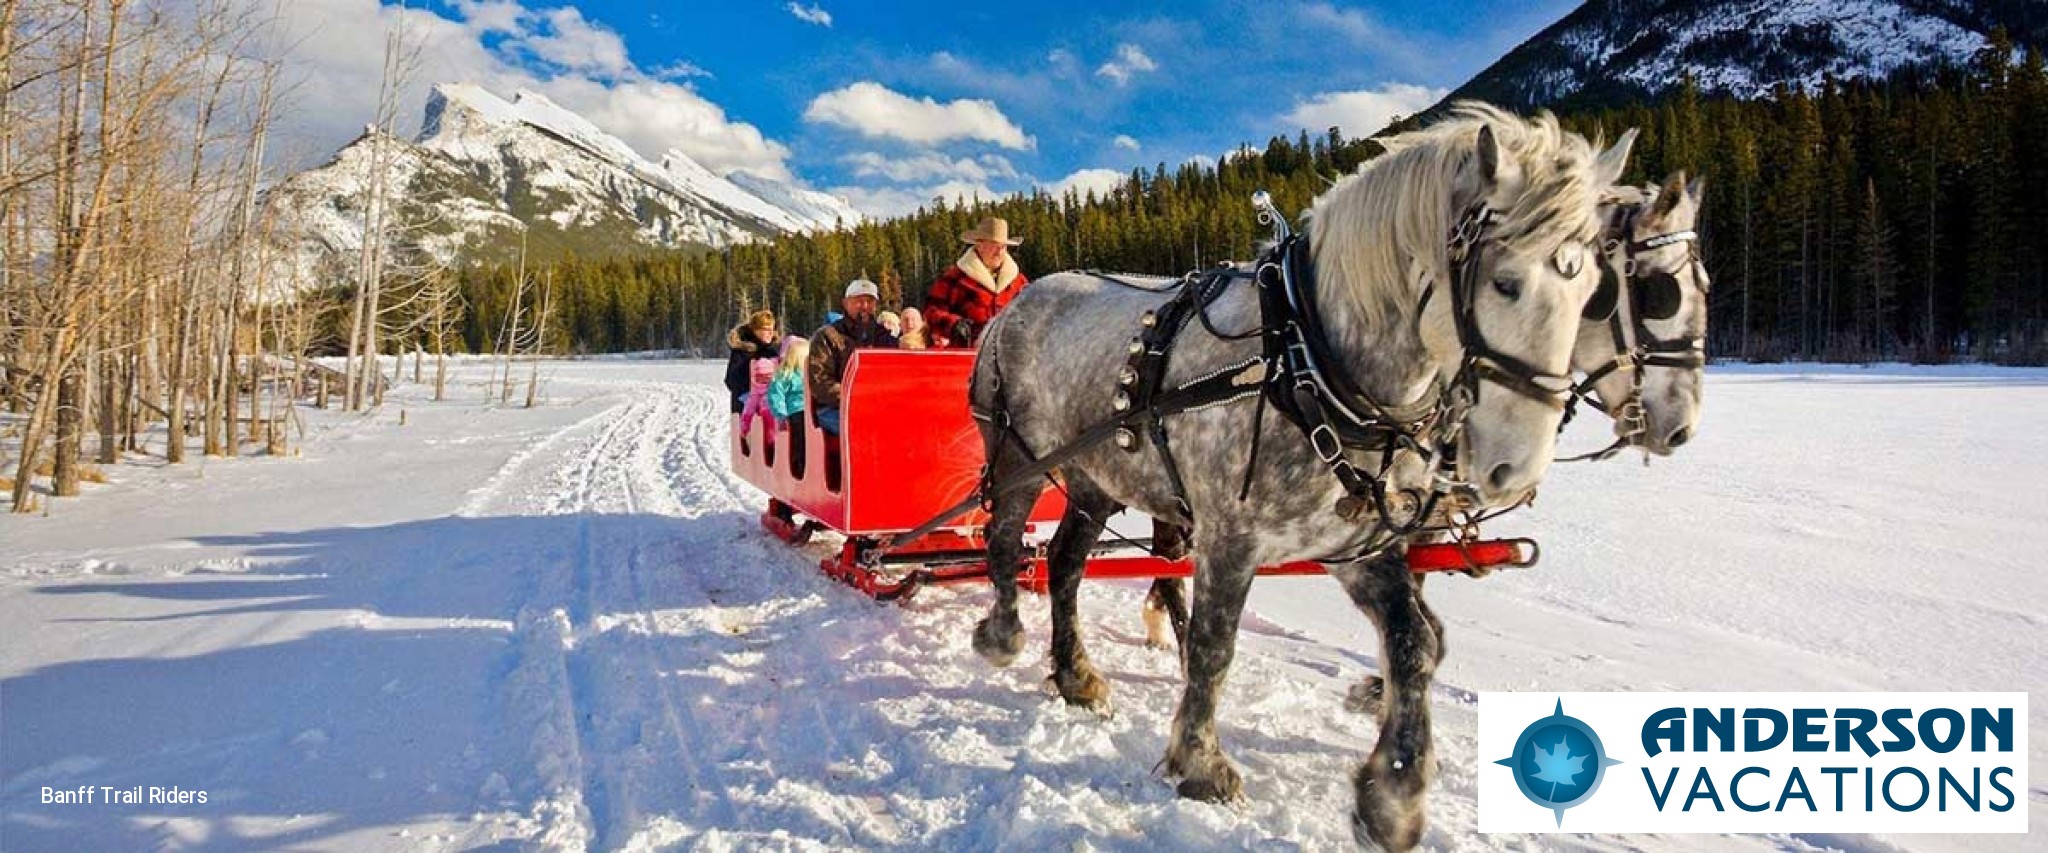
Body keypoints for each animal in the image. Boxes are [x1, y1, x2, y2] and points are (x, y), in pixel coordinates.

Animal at [966, 104, 1622, 842]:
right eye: (1505, 281)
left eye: (1594, 293)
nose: (1515, 464)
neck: (1307, 358)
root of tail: (1016, 304)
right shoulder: (1230, 537)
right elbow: (1214, 645)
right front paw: (1201, 763)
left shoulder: (1359, 547)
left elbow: (1414, 644)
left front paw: (1393, 794)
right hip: (1018, 456)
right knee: (1003, 542)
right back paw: (1002, 634)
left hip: (1092, 478)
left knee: (1064, 561)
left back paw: (1076, 675)